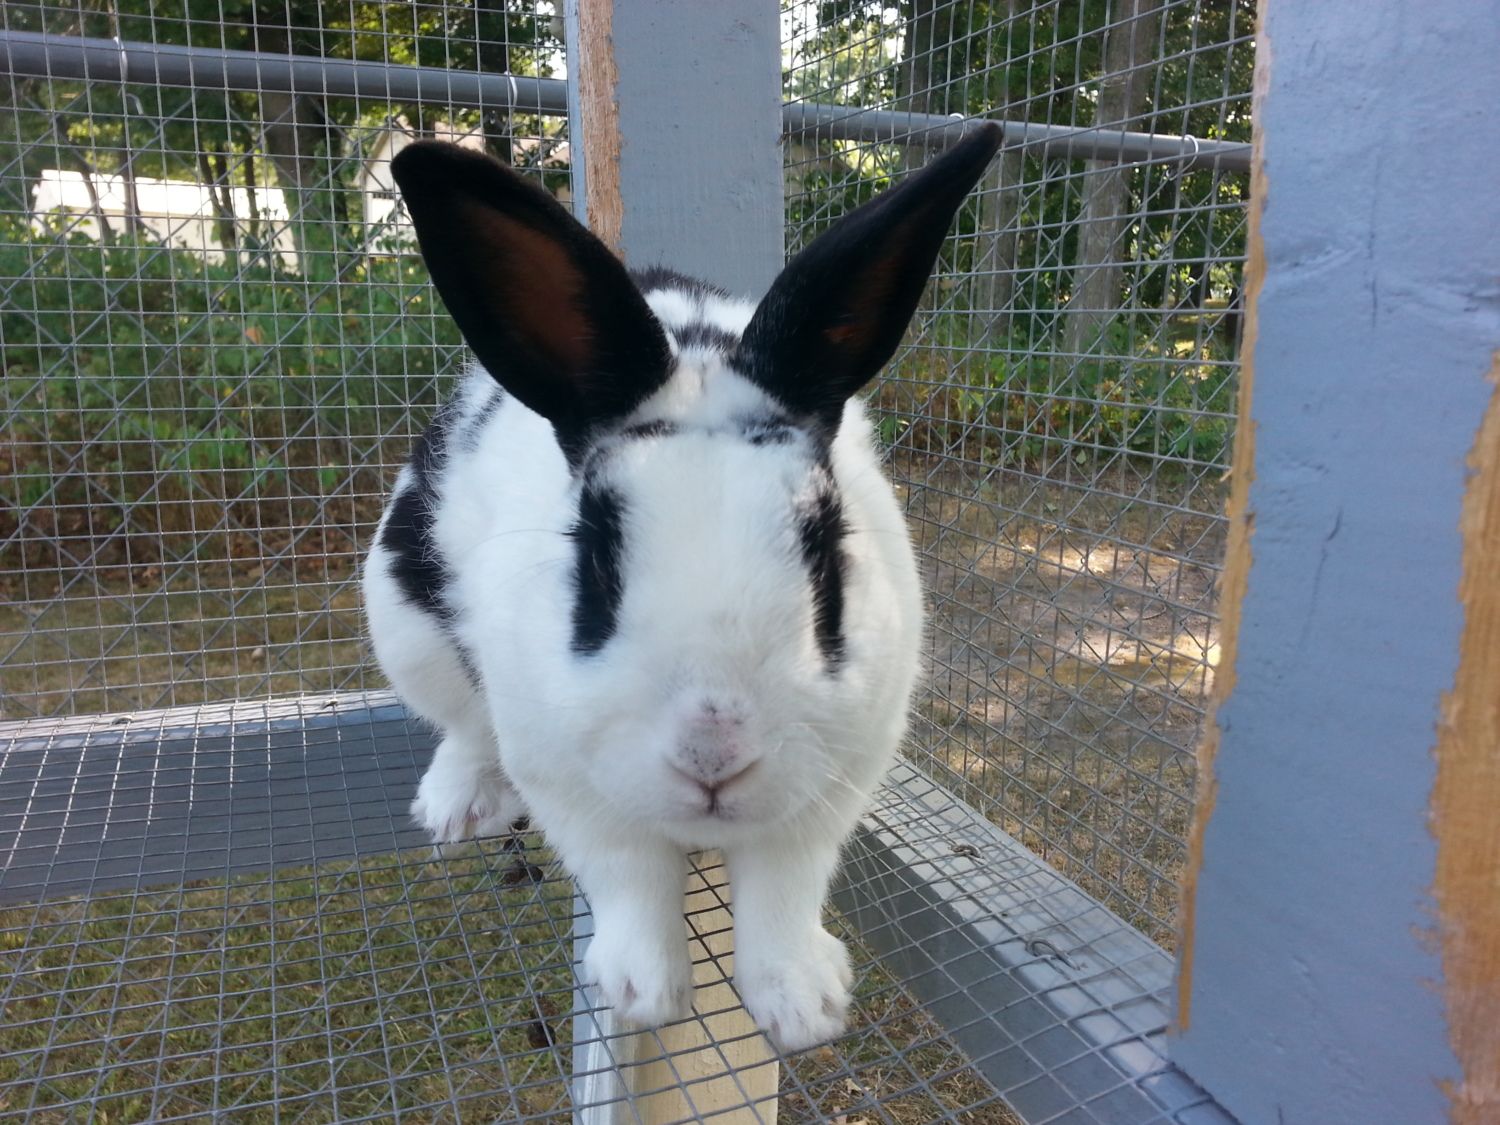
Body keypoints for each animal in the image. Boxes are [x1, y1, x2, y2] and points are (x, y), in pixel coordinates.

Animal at [363, 124, 1002, 1051]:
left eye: (824, 551)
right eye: (595, 560)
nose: (713, 756)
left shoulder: (836, 779)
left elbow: (784, 886)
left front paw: (804, 1005)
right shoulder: (565, 777)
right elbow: (627, 875)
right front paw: (642, 991)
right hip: (404, 618)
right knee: (461, 726)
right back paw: (453, 807)